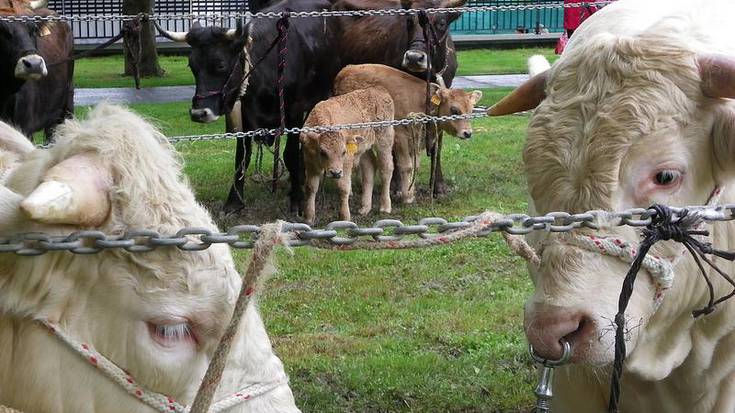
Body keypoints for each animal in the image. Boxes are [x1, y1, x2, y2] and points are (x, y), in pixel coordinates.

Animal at [300, 85, 394, 224]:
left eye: (343, 152)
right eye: (322, 152)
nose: (335, 173)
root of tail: (380, 90)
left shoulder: (346, 164)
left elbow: (343, 188)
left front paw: (345, 217)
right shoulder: (310, 163)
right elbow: (311, 187)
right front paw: (309, 218)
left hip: (384, 139)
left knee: (386, 168)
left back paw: (385, 207)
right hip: (363, 148)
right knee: (369, 167)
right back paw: (364, 208)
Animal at [336, 63, 486, 204]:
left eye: (471, 110)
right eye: (454, 109)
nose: (467, 133)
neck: (423, 103)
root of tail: (346, 69)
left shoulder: (416, 140)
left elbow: (416, 166)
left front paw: (411, 191)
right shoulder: (401, 137)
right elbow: (406, 166)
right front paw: (406, 196)